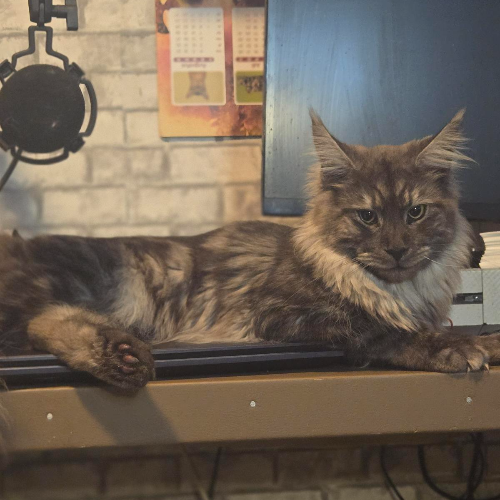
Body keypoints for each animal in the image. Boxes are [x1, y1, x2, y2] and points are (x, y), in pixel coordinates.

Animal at [0, 109, 498, 392]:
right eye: (367, 216)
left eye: (416, 212)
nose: (396, 250)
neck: (400, 290)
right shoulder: (281, 315)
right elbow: (378, 328)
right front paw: (458, 346)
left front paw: (482, 339)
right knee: (39, 323)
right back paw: (124, 358)